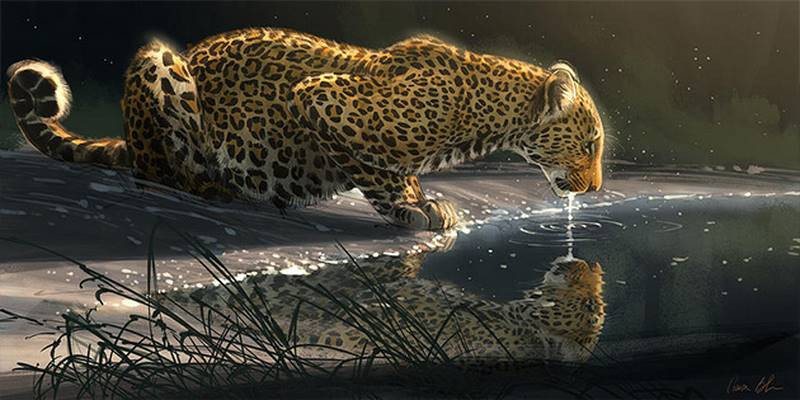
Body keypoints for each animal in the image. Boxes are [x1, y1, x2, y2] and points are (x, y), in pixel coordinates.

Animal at [7, 28, 604, 230]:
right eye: (592, 143)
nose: (597, 187)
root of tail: (128, 139)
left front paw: (425, 201)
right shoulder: (320, 97)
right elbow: (376, 170)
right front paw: (410, 209)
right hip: (160, 67)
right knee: (157, 173)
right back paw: (216, 187)